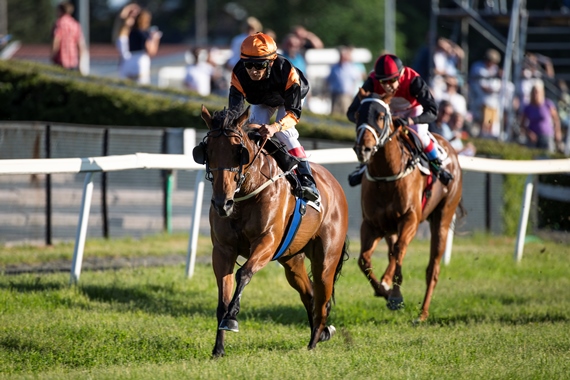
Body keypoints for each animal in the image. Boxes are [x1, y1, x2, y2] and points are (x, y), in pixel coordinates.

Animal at [195, 105, 348, 358]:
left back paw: (314, 341)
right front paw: (218, 349)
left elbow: (244, 273)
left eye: (239, 151)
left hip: (326, 258)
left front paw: (232, 318)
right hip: (291, 260)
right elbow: (222, 299)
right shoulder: (223, 250)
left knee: (322, 298)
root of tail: (334, 185)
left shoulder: (267, 241)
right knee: (309, 294)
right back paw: (321, 333)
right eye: (207, 152)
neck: (247, 193)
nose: (221, 203)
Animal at [350, 90, 462, 322]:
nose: (363, 149)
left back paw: (422, 314)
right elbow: (364, 260)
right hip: (390, 227)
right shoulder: (372, 224)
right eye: (357, 114)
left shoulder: (410, 218)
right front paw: (384, 290)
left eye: (381, 116)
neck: (386, 174)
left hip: (442, 218)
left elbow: (400, 250)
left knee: (432, 268)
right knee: (392, 252)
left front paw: (393, 293)